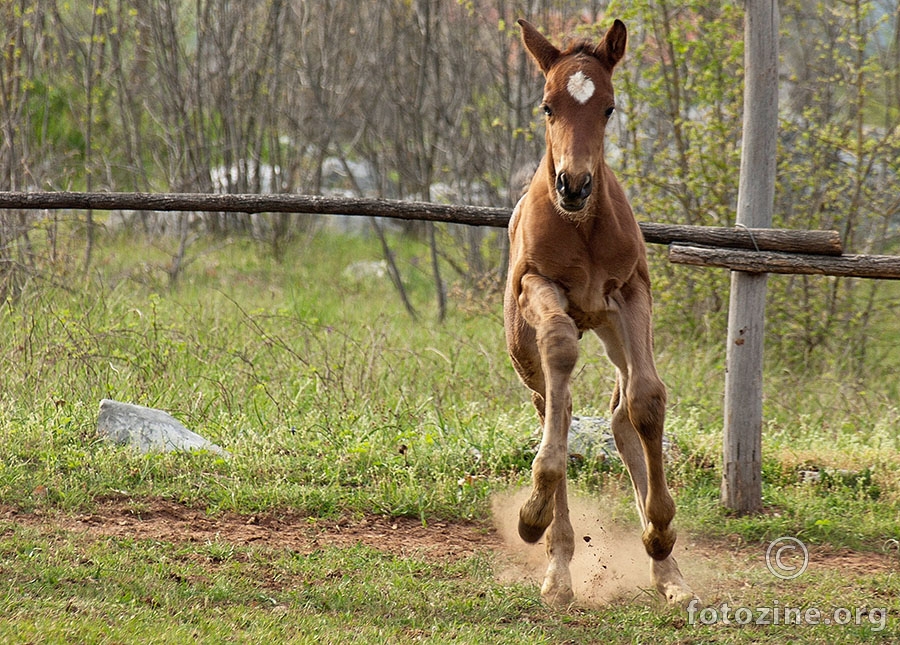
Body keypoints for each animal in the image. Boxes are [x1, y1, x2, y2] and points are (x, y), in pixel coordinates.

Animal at [502, 18, 692, 604]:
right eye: (547, 106)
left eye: (608, 107)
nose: (574, 184)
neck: (581, 225)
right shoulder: (538, 286)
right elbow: (561, 350)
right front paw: (532, 516)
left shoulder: (630, 294)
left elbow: (647, 400)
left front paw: (660, 534)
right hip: (526, 350)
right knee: (555, 404)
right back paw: (556, 562)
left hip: (611, 328)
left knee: (621, 412)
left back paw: (670, 575)